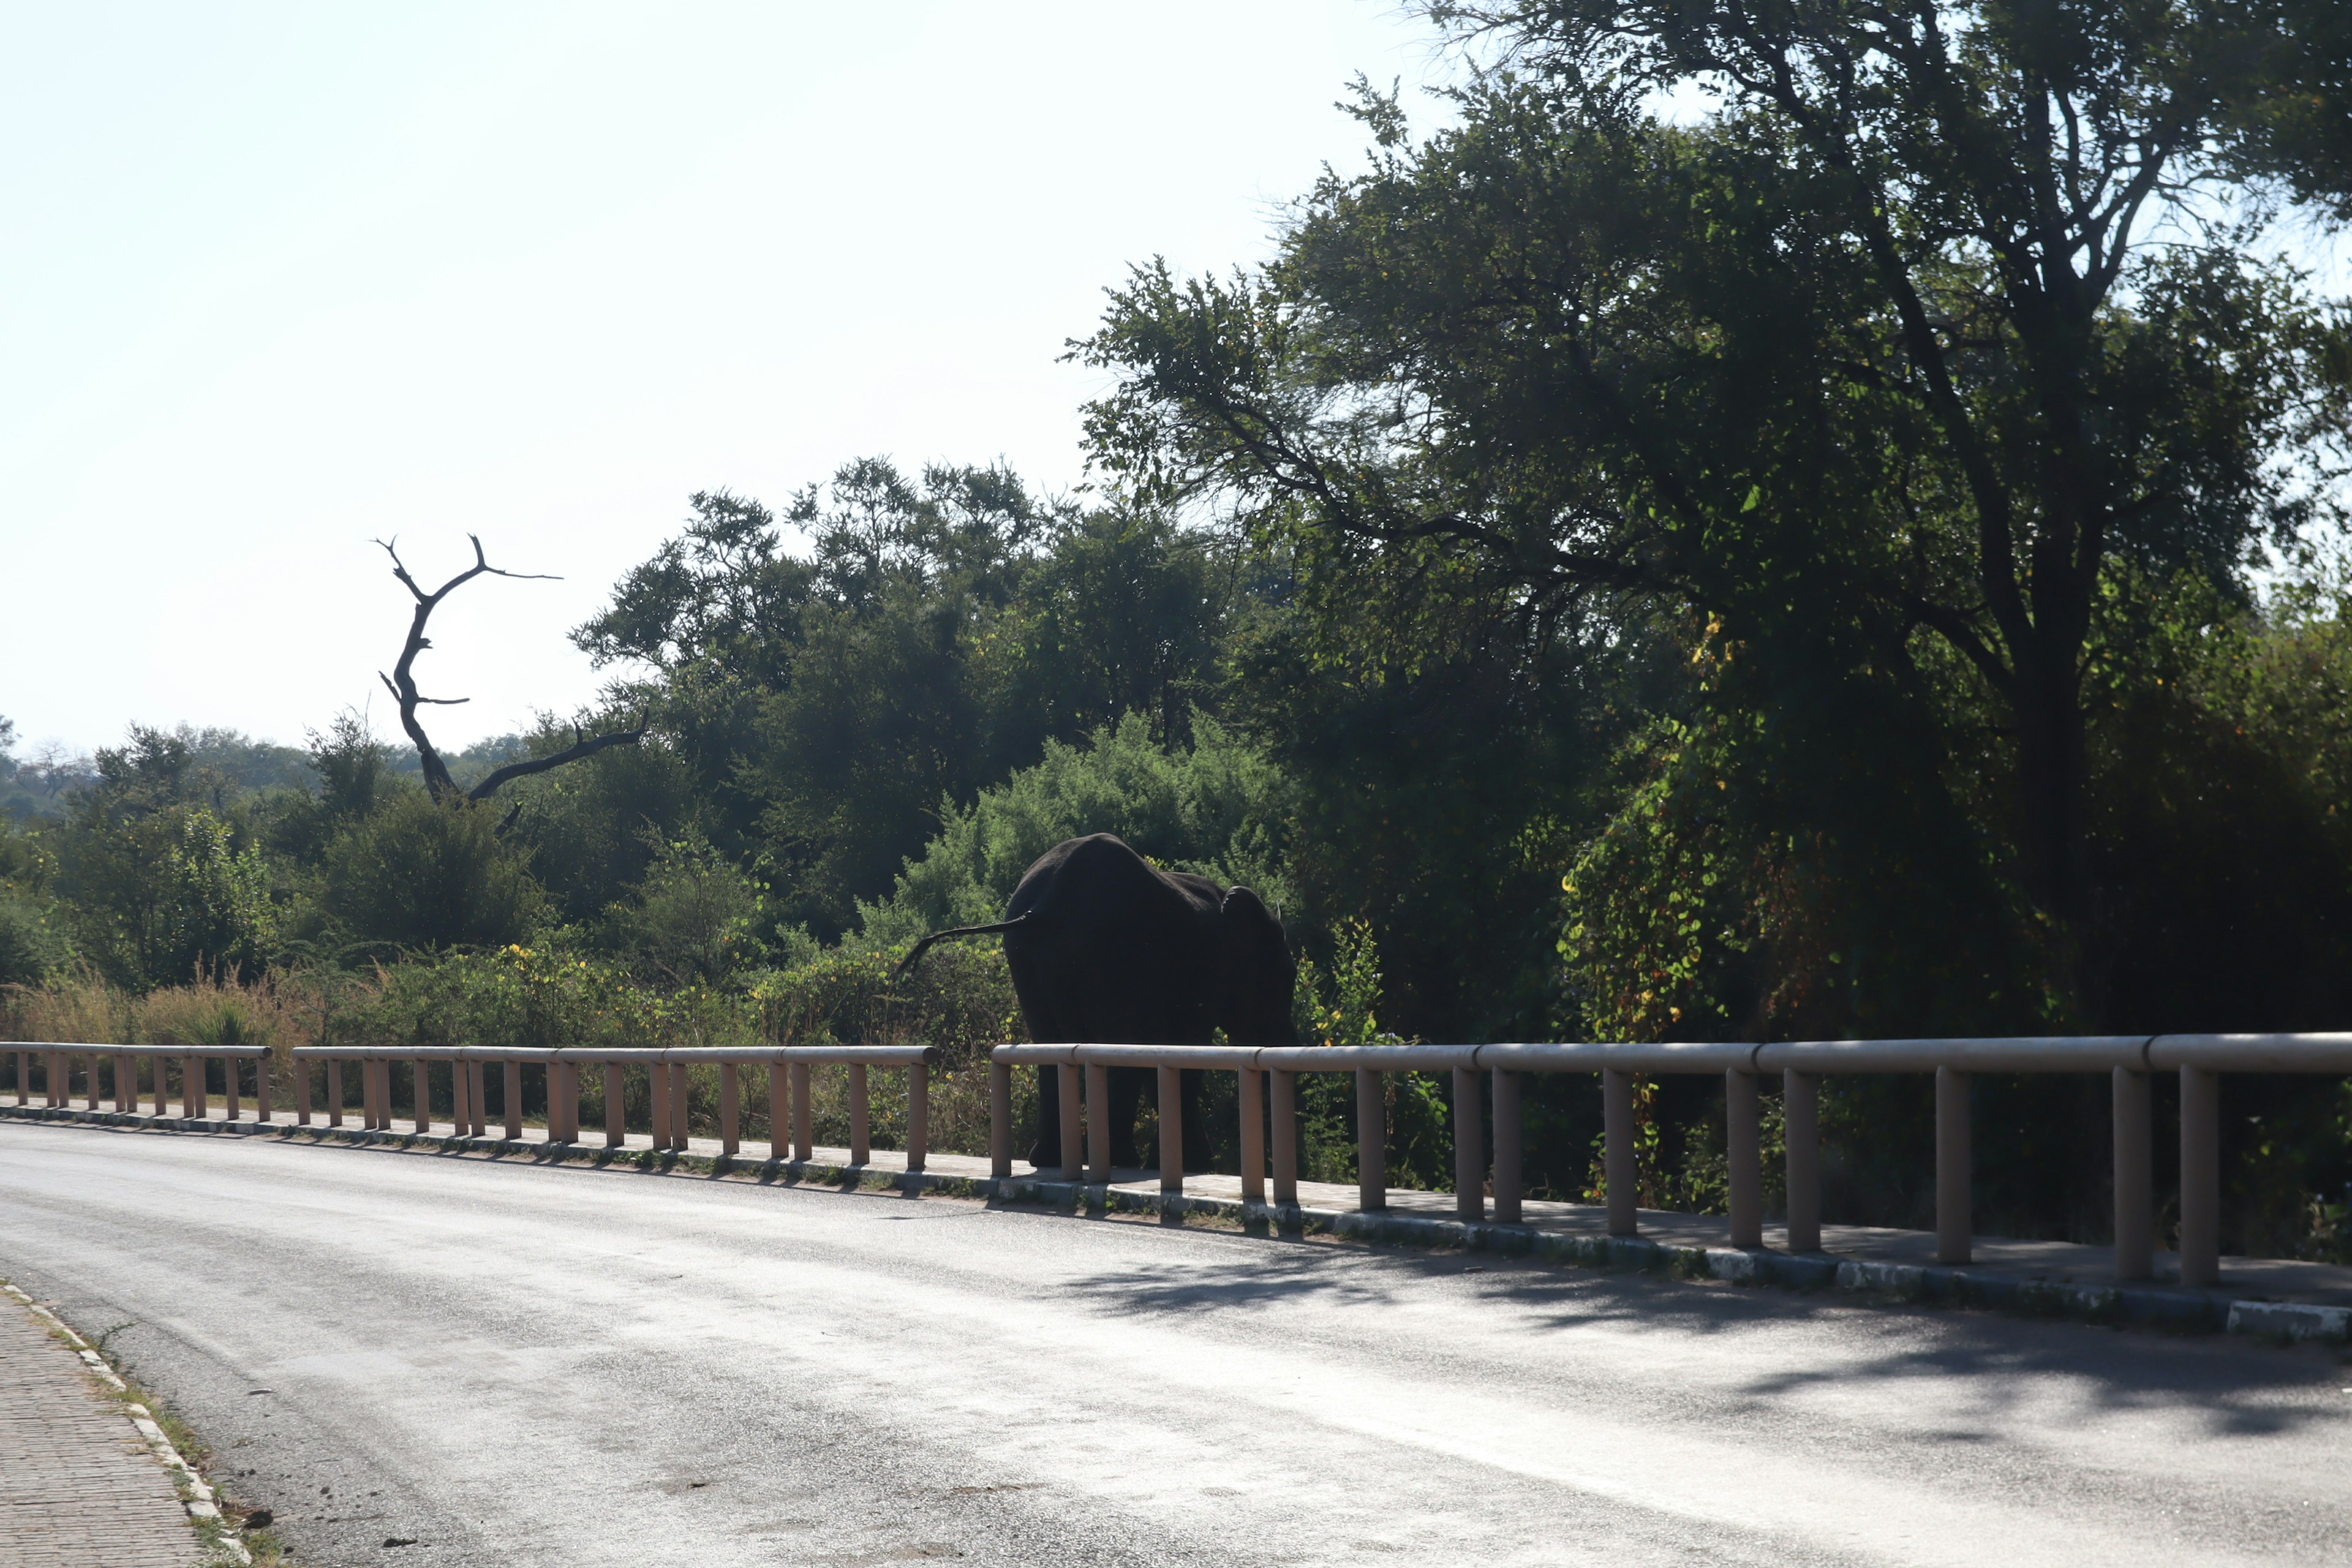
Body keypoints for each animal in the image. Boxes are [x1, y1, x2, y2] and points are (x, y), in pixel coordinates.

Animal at [903, 842, 1308, 1170]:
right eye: (1287, 977)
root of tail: (1042, 908)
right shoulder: (1207, 972)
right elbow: (1185, 1054)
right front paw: (1194, 1165)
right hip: (1115, 955)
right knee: (1119, 1048)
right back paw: (1119, 1161)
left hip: (1026, 959)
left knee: (1050, 1048)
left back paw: (1050, 1160)